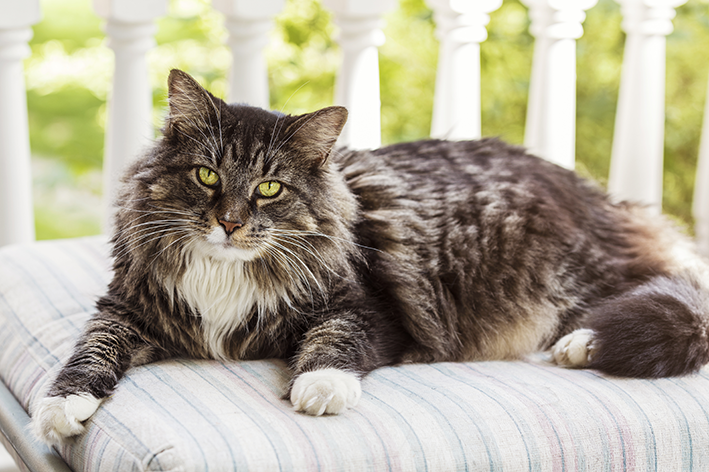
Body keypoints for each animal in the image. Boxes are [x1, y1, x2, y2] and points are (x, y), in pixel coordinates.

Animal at [31, 68, 708, 444]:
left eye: (269, 188)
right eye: (206, 176)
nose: (229, 223)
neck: (226, 273)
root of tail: (604, 199)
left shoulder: (366, 307)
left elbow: (334, 341)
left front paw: (320, 388)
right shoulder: (124, 309)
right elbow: (89, 352)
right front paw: (63, 407)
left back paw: (582, 345)